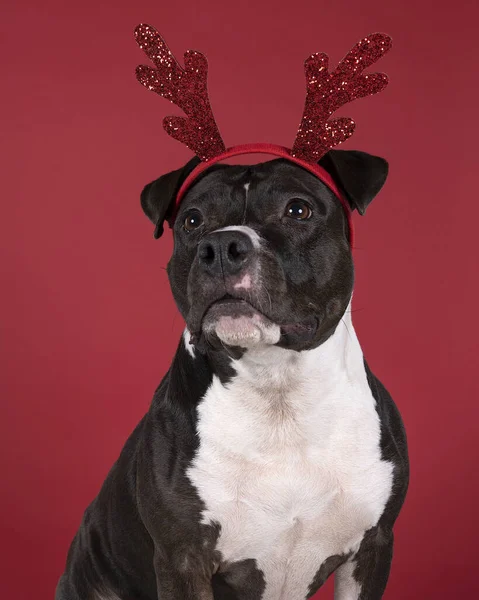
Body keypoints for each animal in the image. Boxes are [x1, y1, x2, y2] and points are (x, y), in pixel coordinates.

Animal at [55, 150, 408, 600]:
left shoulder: (372, 548)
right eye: (192, 220)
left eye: (298, 209)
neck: (277, 393)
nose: (221, 246)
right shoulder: (183, 559)